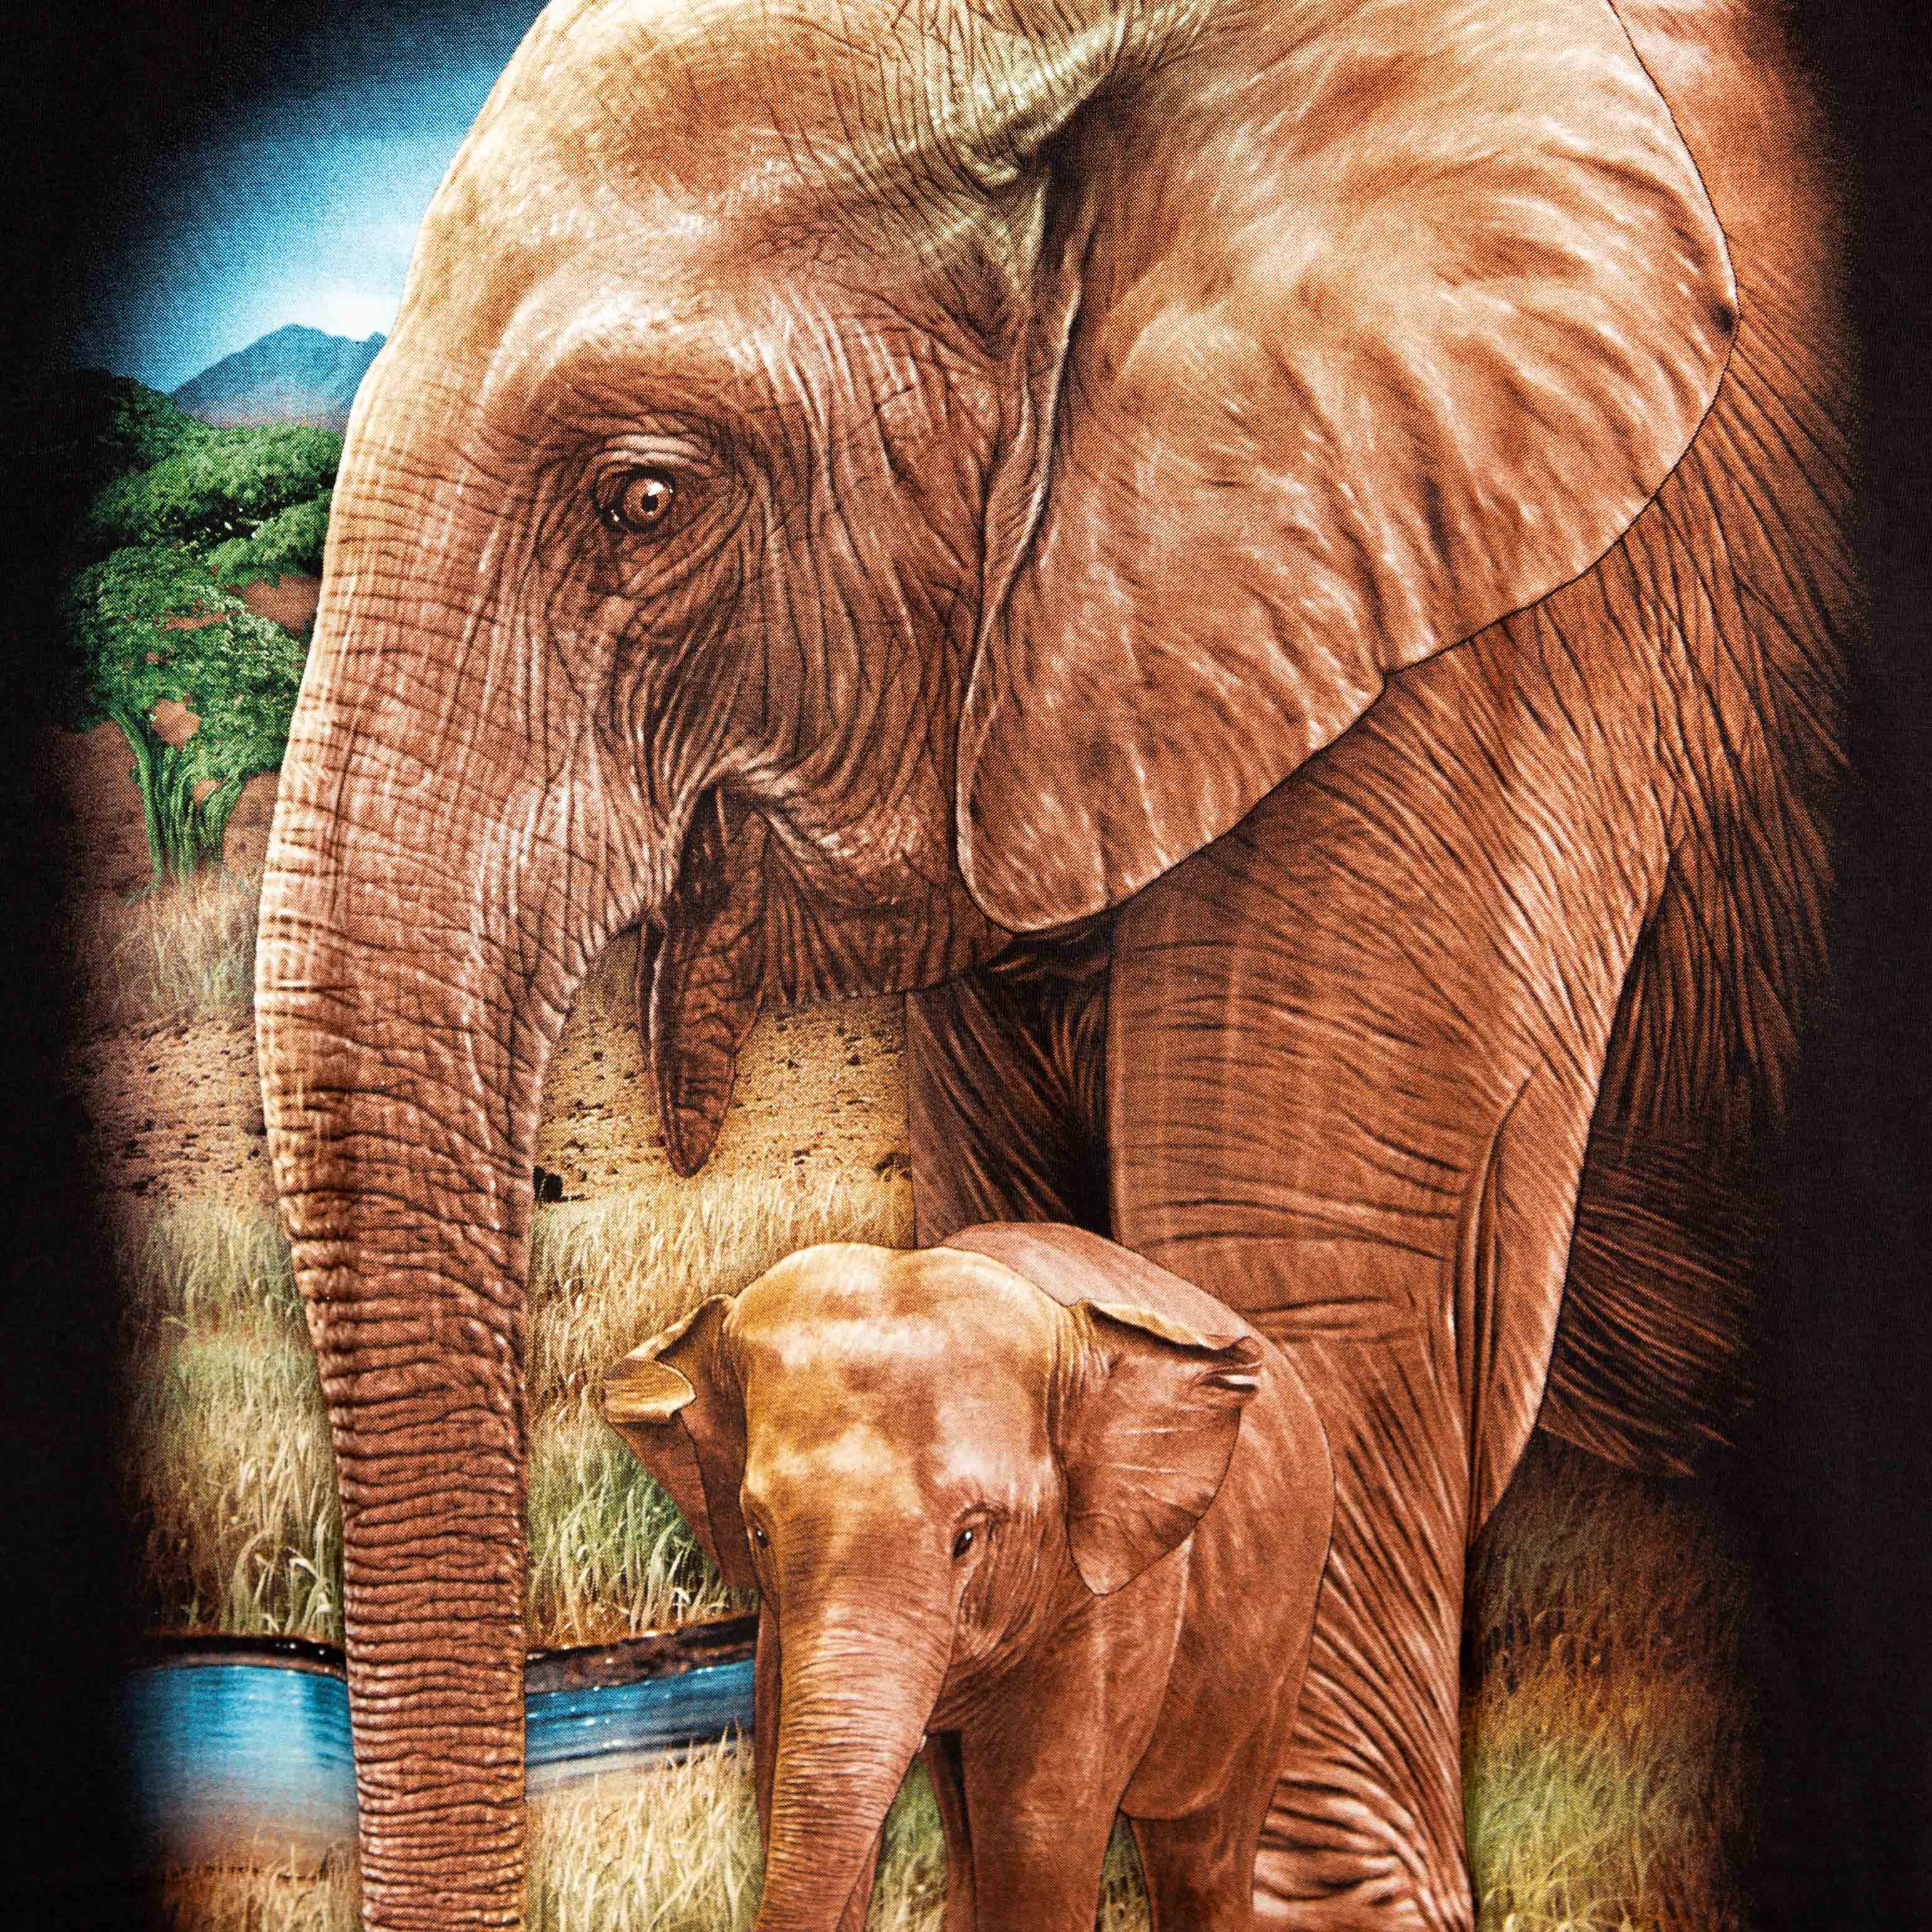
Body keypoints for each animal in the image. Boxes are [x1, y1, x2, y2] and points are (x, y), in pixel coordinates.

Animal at [602, 1224, 1334, 1932]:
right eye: (758, 1533)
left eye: (969, 1538)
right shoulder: (781, 1630)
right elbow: (787, 1776)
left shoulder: (1109, 1597)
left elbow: (1035, 1829)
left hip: (1286, 1627)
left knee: (1201, 1844)